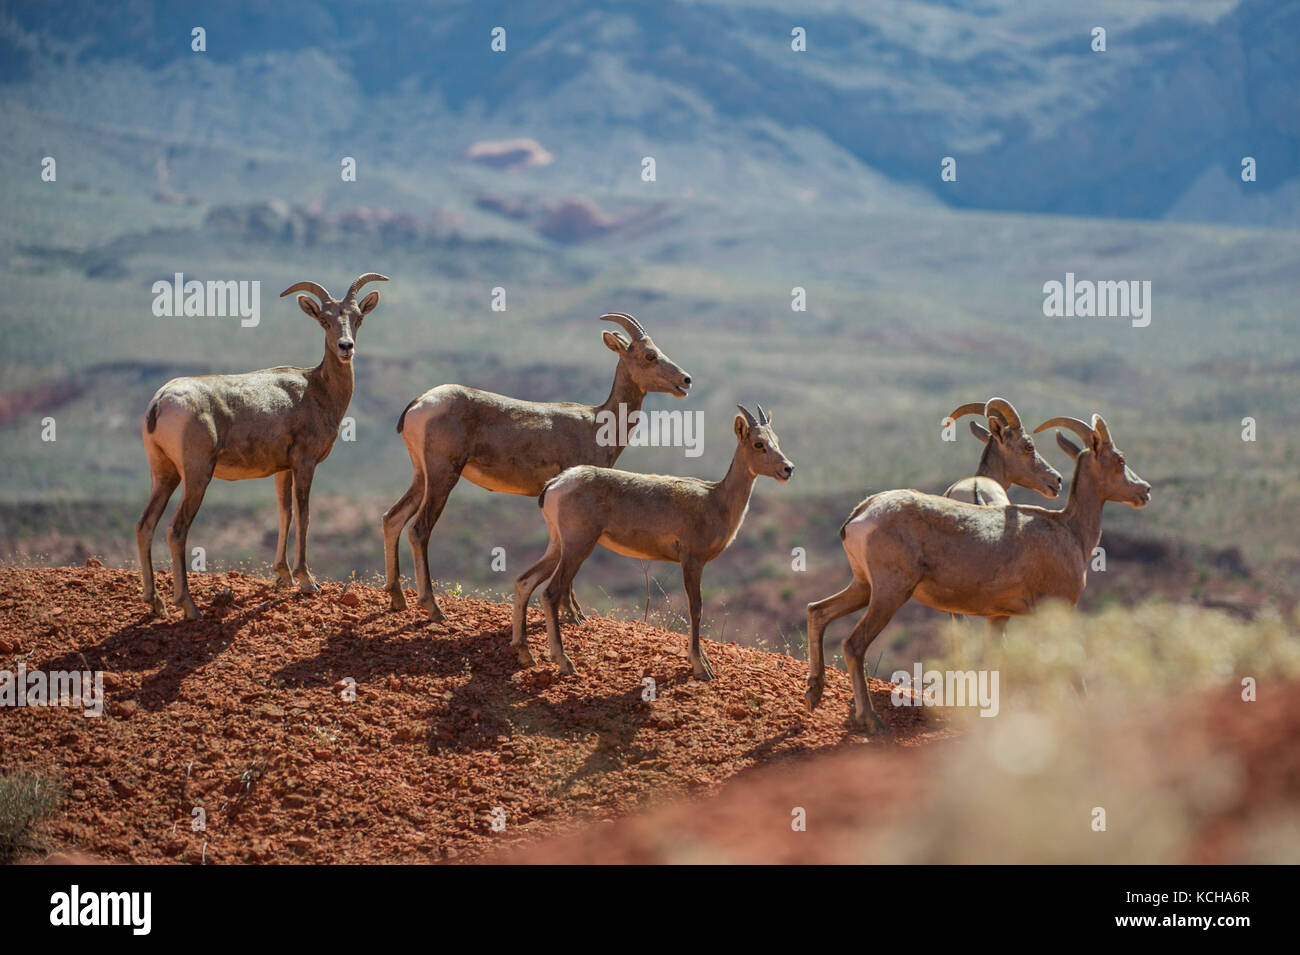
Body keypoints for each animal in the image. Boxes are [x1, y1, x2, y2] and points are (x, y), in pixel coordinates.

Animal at [136, 273, 387, 619]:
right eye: (324, 320)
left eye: (358, 317)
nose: (345, 347)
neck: (316, 390)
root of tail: (161, 401)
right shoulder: (305, 463)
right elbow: (304, 515)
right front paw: (307, 581)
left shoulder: (282, 469)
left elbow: (285, 513)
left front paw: (284, 576)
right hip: (197, 476)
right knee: (176, 530)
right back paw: (189, 606)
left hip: (164, 474)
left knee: (145, 525)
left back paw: (155, 602)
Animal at [383, 312, 692, 622]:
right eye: (649, 355)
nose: (686, 380)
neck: (597, 424)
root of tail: (419, 404)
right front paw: (574, 614)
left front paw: (576, 612)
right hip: (442, 476)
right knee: (419, 529)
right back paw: (433, 608)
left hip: (422, 476)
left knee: (393, 518)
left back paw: (398, 599)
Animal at [511, 405, 794, 679]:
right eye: (758, 443)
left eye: (777, 440)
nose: (788, 469)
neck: (715, 501)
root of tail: (554, 486)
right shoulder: (692, 561)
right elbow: (696, 608)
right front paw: (701, 667)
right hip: (577, 546)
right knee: (550, 592)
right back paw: (564, 662)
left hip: (558, 545)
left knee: (524, 581)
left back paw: (525, 654)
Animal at [805, 412, 1149, 731]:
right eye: (1120, 459)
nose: (1144, 490)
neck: (1070, 531)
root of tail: (859, 516)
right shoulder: (1056, 610)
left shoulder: (998, 616)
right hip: (889, 593)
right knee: (854, 643)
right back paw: (871, 720)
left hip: (864, 587)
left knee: (817, 611)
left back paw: (813, 693)